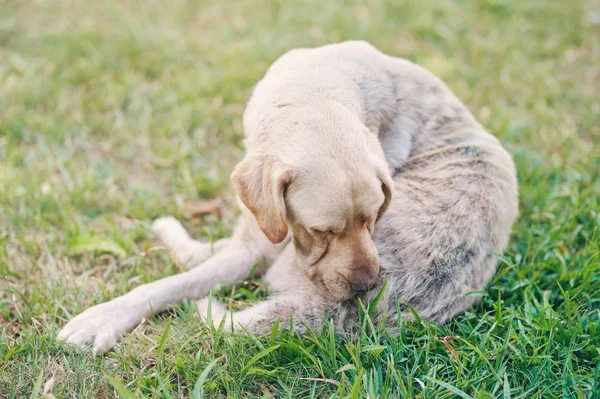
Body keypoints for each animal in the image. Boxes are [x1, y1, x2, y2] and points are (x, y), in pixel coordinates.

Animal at [58, 40, 516, 354]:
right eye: (322, 230)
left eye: (374, 219)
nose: (368, 286)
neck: (313, 92)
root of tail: (342, 317)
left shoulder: (260, 243)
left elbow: (172, 284)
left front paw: (103, 316)